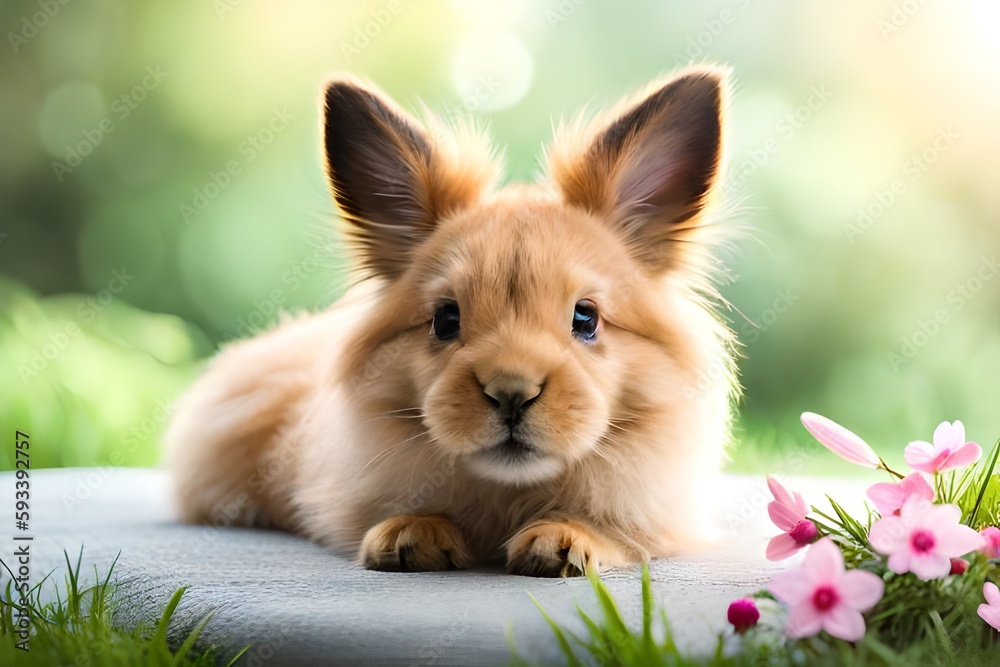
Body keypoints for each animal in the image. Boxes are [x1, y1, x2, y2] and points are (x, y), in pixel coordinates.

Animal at [165, 66, 738, 577]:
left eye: (586, 318)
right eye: (445, 319)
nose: (511, 393)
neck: (508, 490)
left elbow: (619, 531)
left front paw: (565, 541)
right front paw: (409, 535)